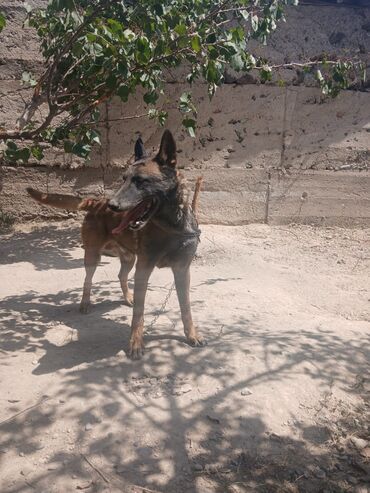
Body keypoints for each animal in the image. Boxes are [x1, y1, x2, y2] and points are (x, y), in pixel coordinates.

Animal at [27, 130, 204, 358]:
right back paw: (85, 303)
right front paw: (135, 343)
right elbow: (139, 313)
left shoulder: (182, 270)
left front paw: (192, 335)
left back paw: (128, 297)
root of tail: (96, 202)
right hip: (93, 256)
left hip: (129, 258)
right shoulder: (144, 268)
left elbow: (186, 308)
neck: (172, 225)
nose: (112, 205)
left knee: (121, 275)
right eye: (123, 179)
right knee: (88, 280)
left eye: (141, 181)